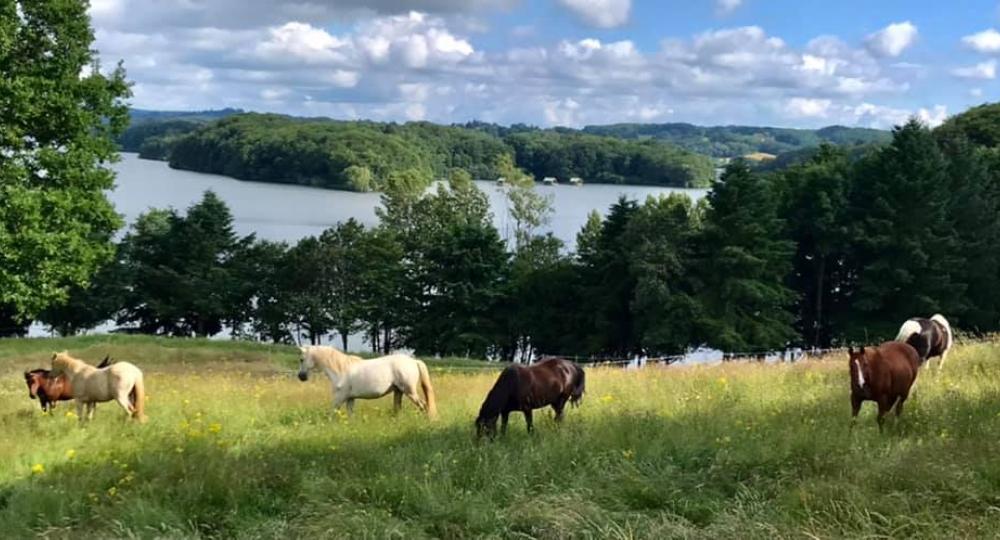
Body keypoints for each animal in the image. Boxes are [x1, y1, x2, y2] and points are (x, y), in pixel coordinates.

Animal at [296, 346, 438, 418]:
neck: (340, 369)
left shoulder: (339, 397)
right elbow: (350, 415)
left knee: (424, 405)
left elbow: (332, 413)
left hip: (409, 391)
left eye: (301, 359)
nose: (301, 377)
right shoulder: (350, 398)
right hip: (398, 391)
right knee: (398, 409)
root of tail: (414, 361)